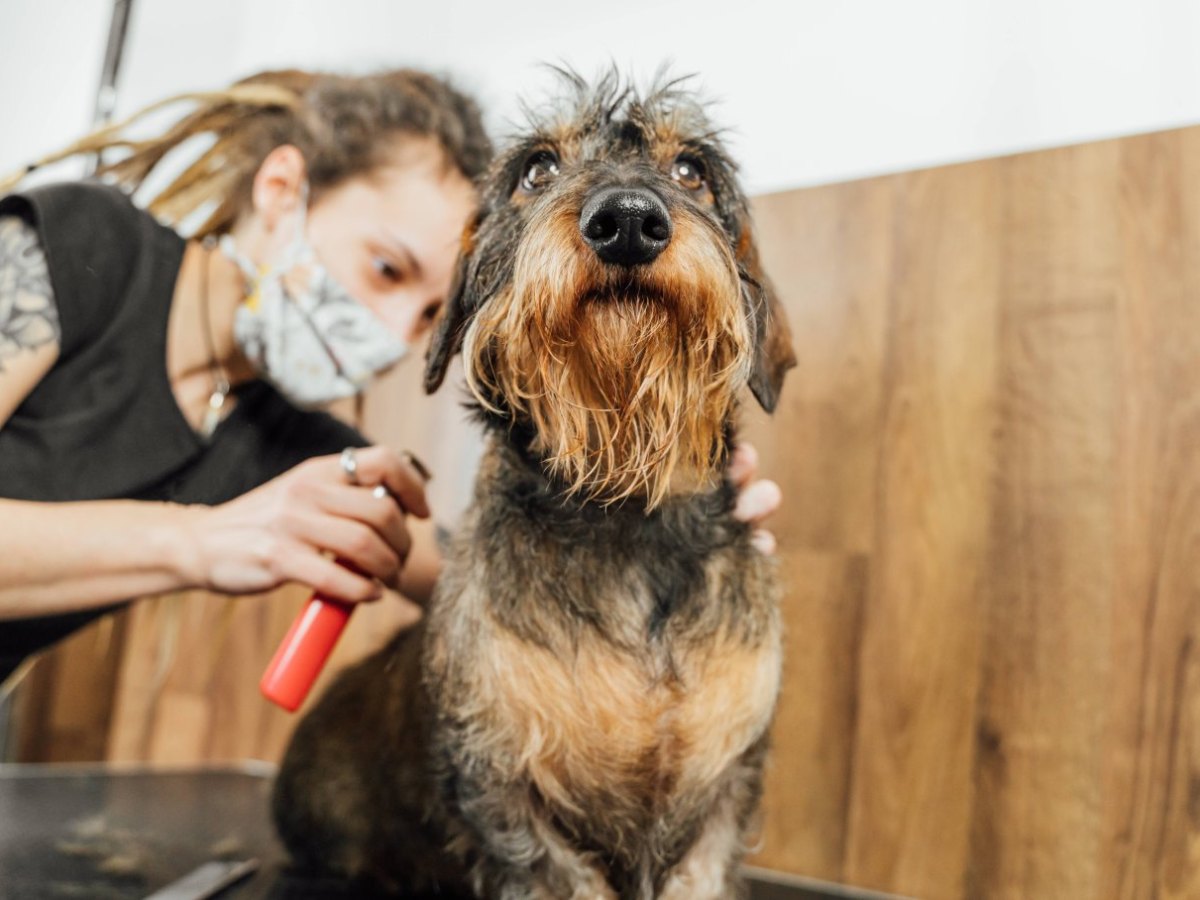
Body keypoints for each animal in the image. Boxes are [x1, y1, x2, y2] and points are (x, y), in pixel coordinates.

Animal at [273, 72, 796, 900]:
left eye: (692, 170)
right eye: (537, 169)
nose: (627, 221)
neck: (623, 508)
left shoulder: (720, 798)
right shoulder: (507, 797)